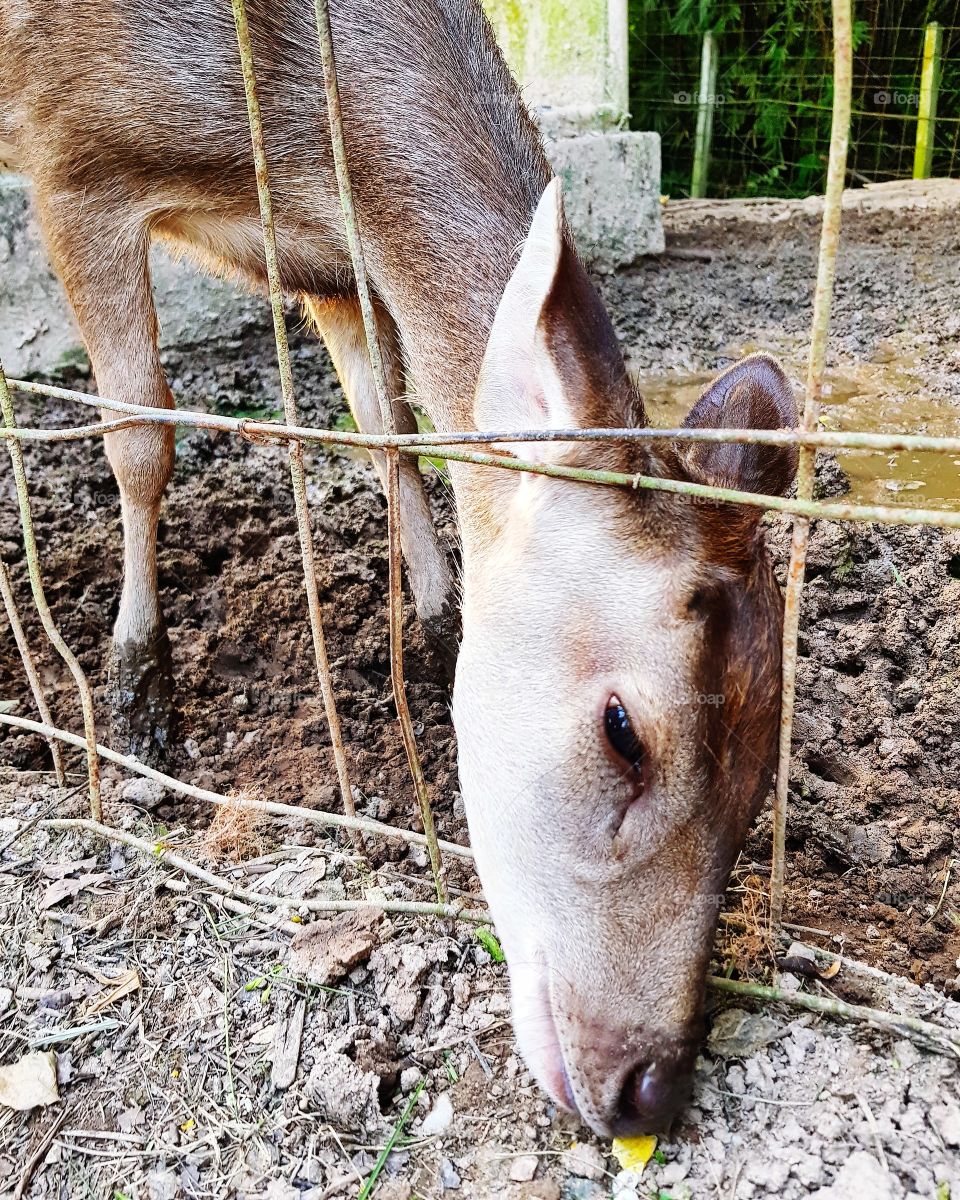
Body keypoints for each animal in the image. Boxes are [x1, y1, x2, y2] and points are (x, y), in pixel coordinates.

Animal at [0, 0, 797, 1135]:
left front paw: (435, 628)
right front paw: (140, 700)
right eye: (624, 731)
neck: (282, 126)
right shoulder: (71, 154)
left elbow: (391, 428)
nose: (653, 1086)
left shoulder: (335, 265)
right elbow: (141, 434)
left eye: (759, 781)